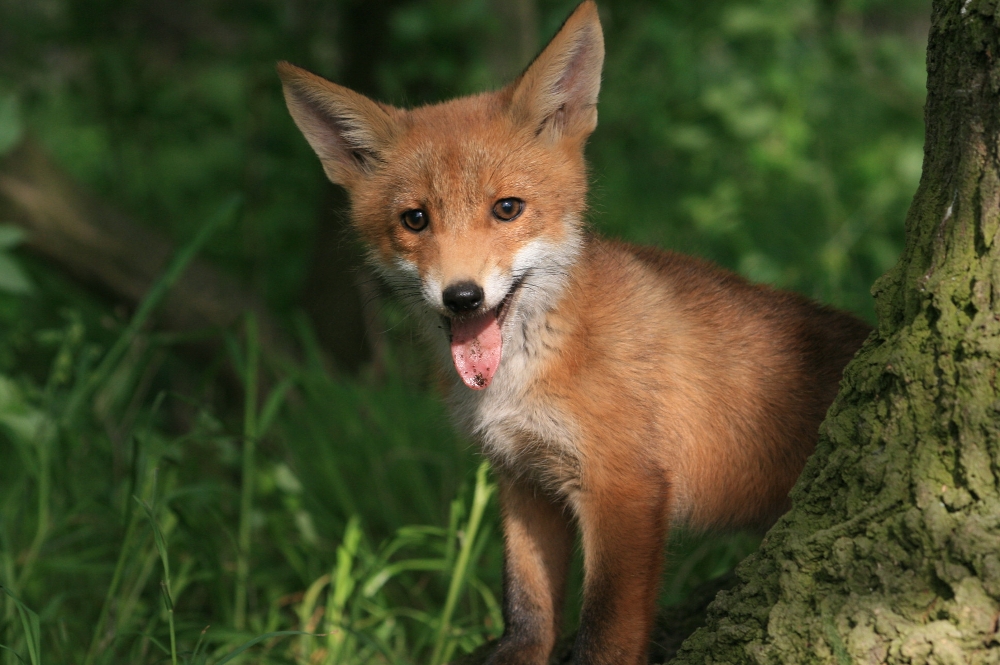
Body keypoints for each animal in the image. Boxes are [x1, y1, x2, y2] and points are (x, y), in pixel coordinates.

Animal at [278, 2, 872, 660]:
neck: (522, 377)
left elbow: (605, 630)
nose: (462, 296)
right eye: (415, 220)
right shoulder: (525, 480)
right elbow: (527, 608)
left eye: (507, 209)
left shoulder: (626, 489)